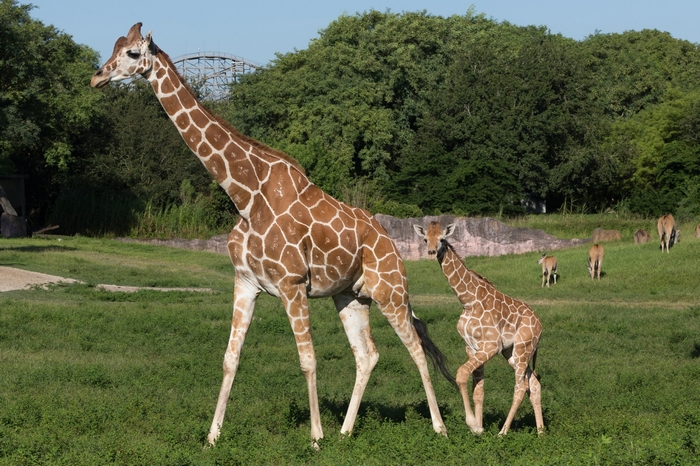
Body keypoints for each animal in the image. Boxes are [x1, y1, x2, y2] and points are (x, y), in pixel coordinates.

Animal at [90, 23, 453, 446]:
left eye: (132, 54)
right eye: (114, 48)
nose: (97, 77)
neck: (245, 196)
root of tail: (391, 243)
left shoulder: (293, 285)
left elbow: (308, 360)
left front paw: (315, 438)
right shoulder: (245, 282)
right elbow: (230, 358)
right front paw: (212, 437)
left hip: (390, 291)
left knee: (415, 349)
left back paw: (440, 428)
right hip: (351, 295)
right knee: (368, 354)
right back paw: (346, 431)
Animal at [414, 221, 544, 436]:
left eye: (441, 238)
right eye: (425, 239)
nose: (431, 252)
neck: (468, 300)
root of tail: (541, 326)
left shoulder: (491, 345)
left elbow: (461, 375)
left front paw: (473, 424)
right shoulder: (472, 347)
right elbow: (479, 391)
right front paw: (479, 428)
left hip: (522, 348)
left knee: (520, 387)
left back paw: (503, 432)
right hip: (513, 352)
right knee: (533, 383)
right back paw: (541, 432)